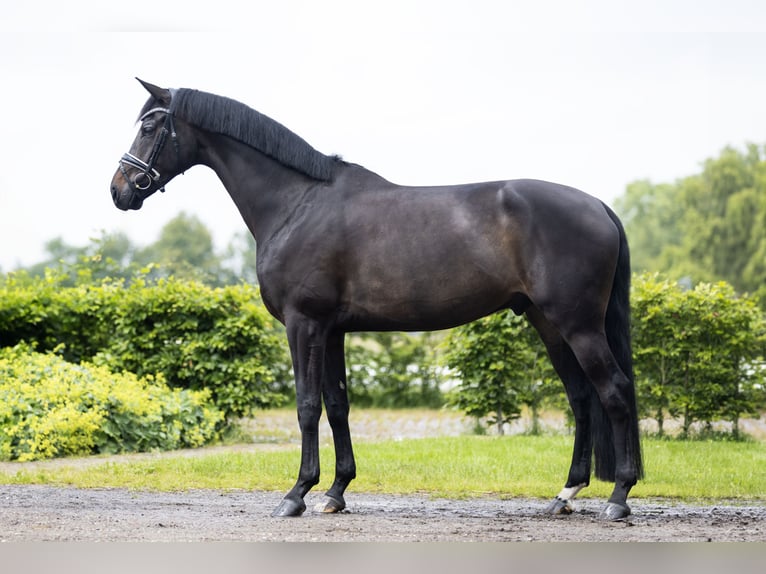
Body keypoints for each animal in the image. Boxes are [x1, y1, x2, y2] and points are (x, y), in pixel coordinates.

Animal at [111, 80, 644, 520]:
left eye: (151, 126)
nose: (119, 190)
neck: (297, 204)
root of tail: (598, 206)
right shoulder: (332, 330)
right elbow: (337, 405)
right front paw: (335, 492)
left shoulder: (303, 324)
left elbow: (307, 405)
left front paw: (296, 494)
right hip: (548, 323)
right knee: (581, 399)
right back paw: (565, 495)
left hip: (577, 325)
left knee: (615, 392)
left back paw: (618, 499)